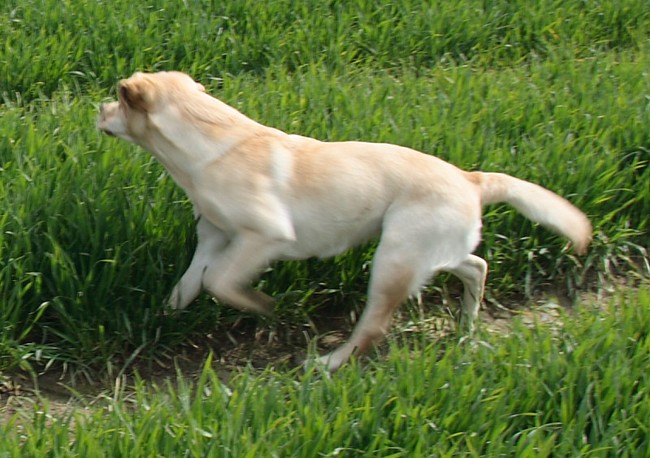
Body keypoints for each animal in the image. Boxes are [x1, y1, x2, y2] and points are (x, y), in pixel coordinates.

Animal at [96, 71, 588, 372]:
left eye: (118, 99)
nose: (98, 108)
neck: (209, 140)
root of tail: (471, 179)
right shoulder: (214, 237)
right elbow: (188, 285)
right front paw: (158, 321)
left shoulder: (266, 237)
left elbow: (219, 281)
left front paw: (263, 306)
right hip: (429, 252)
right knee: (477, 267)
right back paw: (466, 326)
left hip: (393, 259)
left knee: (373, 326)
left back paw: (328, 363)